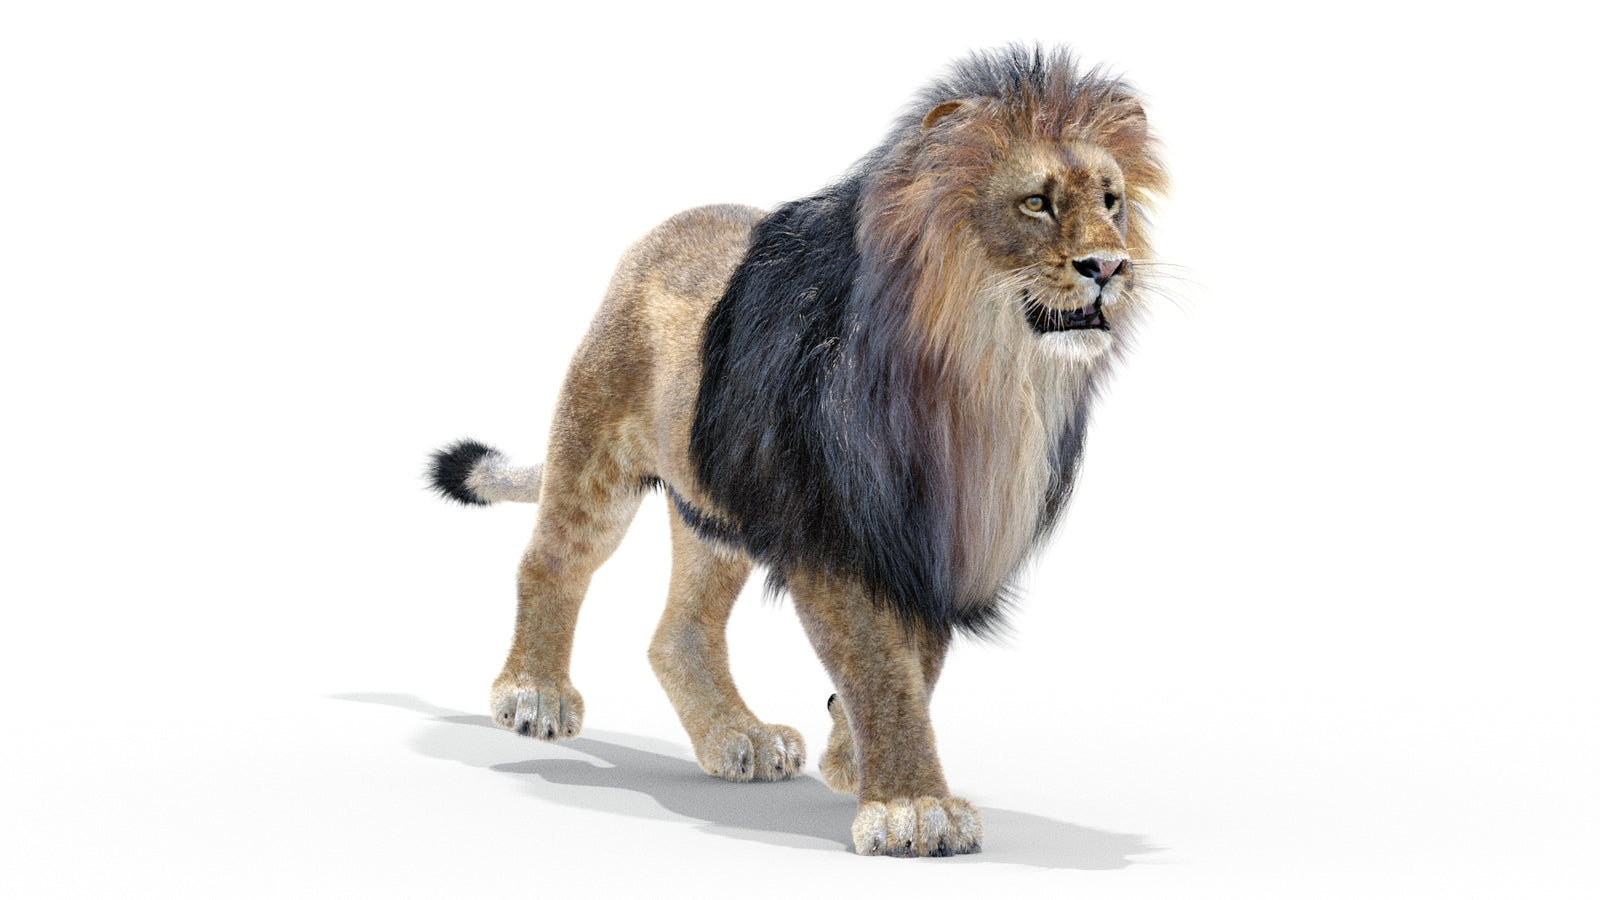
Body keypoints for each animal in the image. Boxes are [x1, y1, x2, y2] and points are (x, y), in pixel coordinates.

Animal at [427, 45, 1168, 857]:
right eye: (1036, 202)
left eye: (1112, 201)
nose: (1110, 267)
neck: (988, 384)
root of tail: (668, 227)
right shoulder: (835, 533)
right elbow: (882, 667)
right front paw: (911, 806)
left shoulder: (937, 544)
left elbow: (920, 663)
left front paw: (851, 757)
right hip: (598, 452)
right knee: (551, 561)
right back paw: (536, 694)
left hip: (716, 510)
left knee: (677, 633)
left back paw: (737, 737)